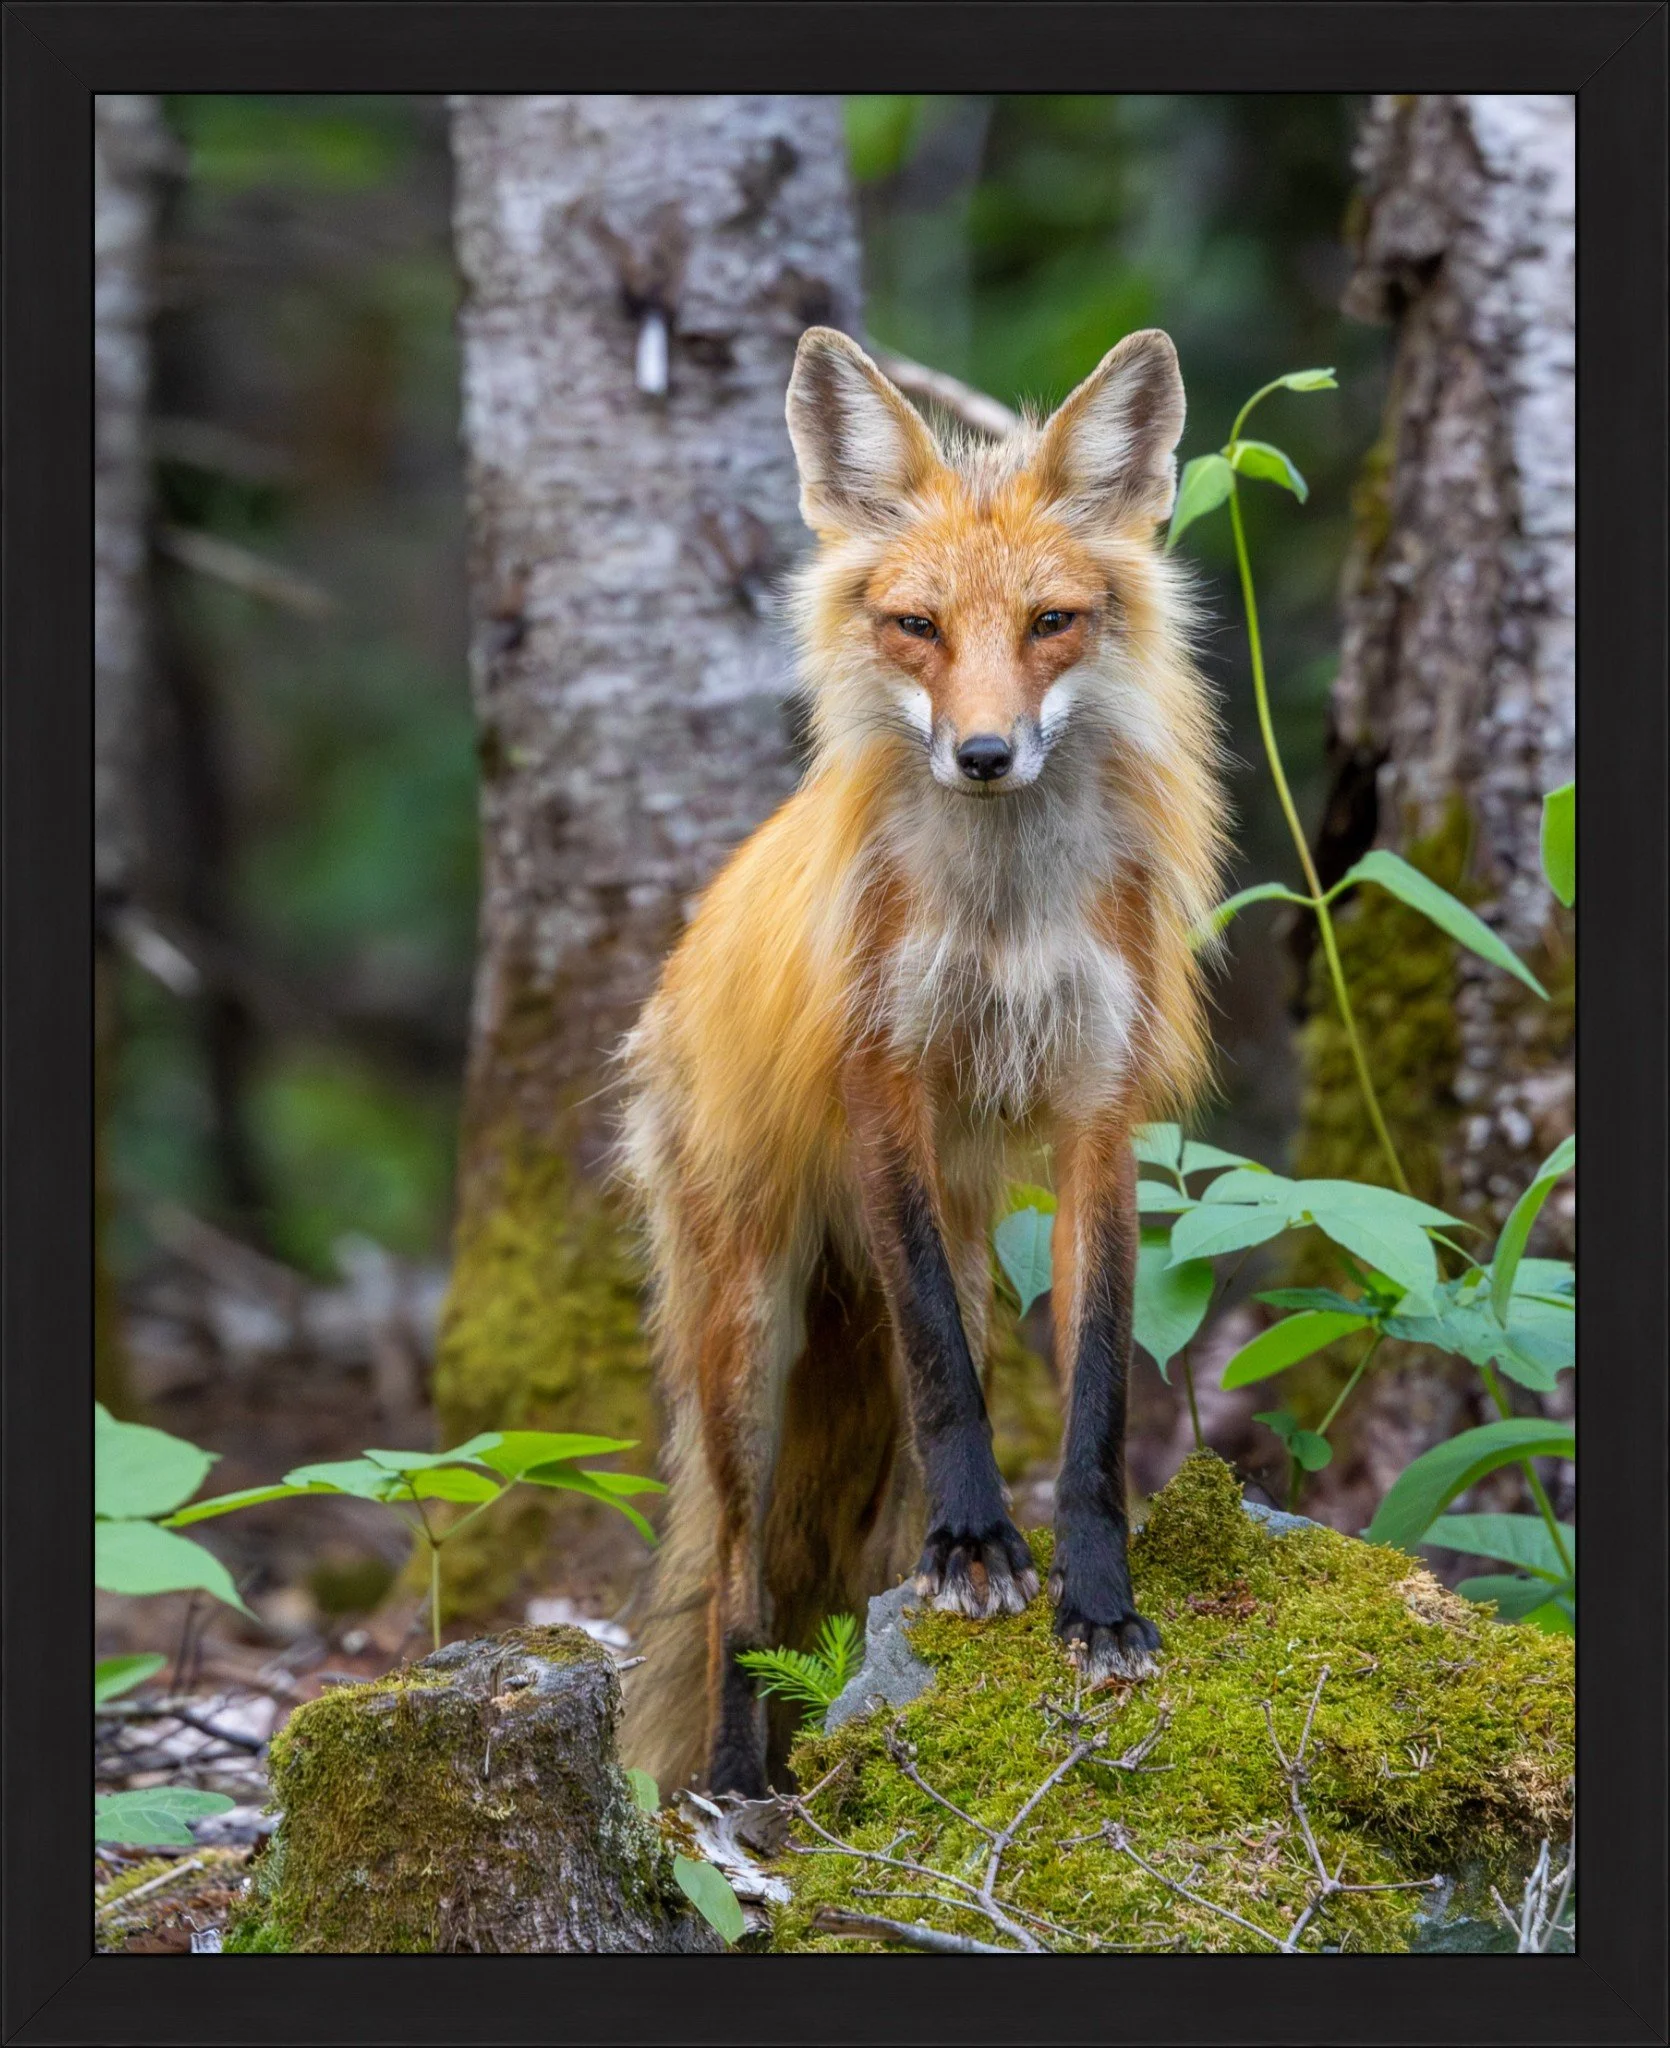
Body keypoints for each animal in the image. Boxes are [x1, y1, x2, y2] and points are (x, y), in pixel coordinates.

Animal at [617, 325, 1227, 1799]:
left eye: (1050, 623)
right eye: (918, 627)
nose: (984, 754)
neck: (1001, 917)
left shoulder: (1095, 1107)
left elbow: (1098, 1398)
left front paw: (1095, 1602)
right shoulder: (882, 1081)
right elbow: (946, 1374)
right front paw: (978, 1551)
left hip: (938, 1260)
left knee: (861, 1539)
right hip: (747, 1341)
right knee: (737, 1584)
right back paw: (739, 1788)